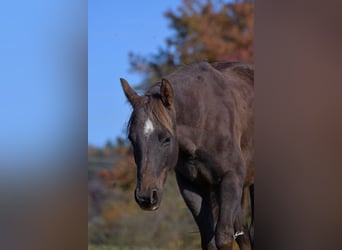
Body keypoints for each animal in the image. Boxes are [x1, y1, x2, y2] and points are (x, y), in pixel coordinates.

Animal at [120, 61, 254, 250]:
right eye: (132, 139)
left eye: (166, 138)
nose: (146, 197)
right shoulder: (192, 187)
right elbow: (210, 241)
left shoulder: (231, 178)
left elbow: (224, 238)